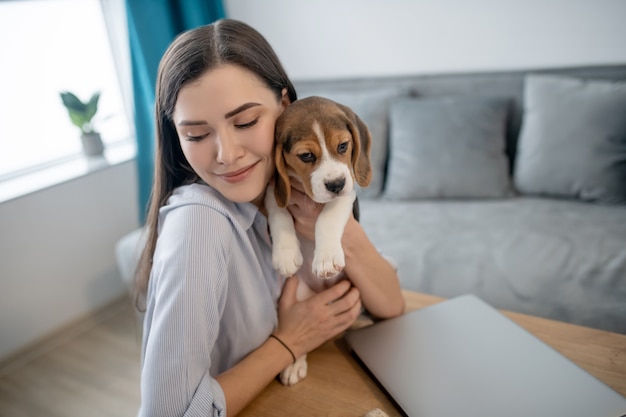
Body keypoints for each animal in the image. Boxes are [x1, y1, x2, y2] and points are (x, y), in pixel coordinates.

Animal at [264, 96, 370, 386]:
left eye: (343, 146)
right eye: (306, 156)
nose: (335, 184)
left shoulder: (348, 191)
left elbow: (328, 217)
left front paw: (326, 259)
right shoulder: (274, 190)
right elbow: (279, 212)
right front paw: (285, 254)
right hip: (302, 296)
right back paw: (293, 364)